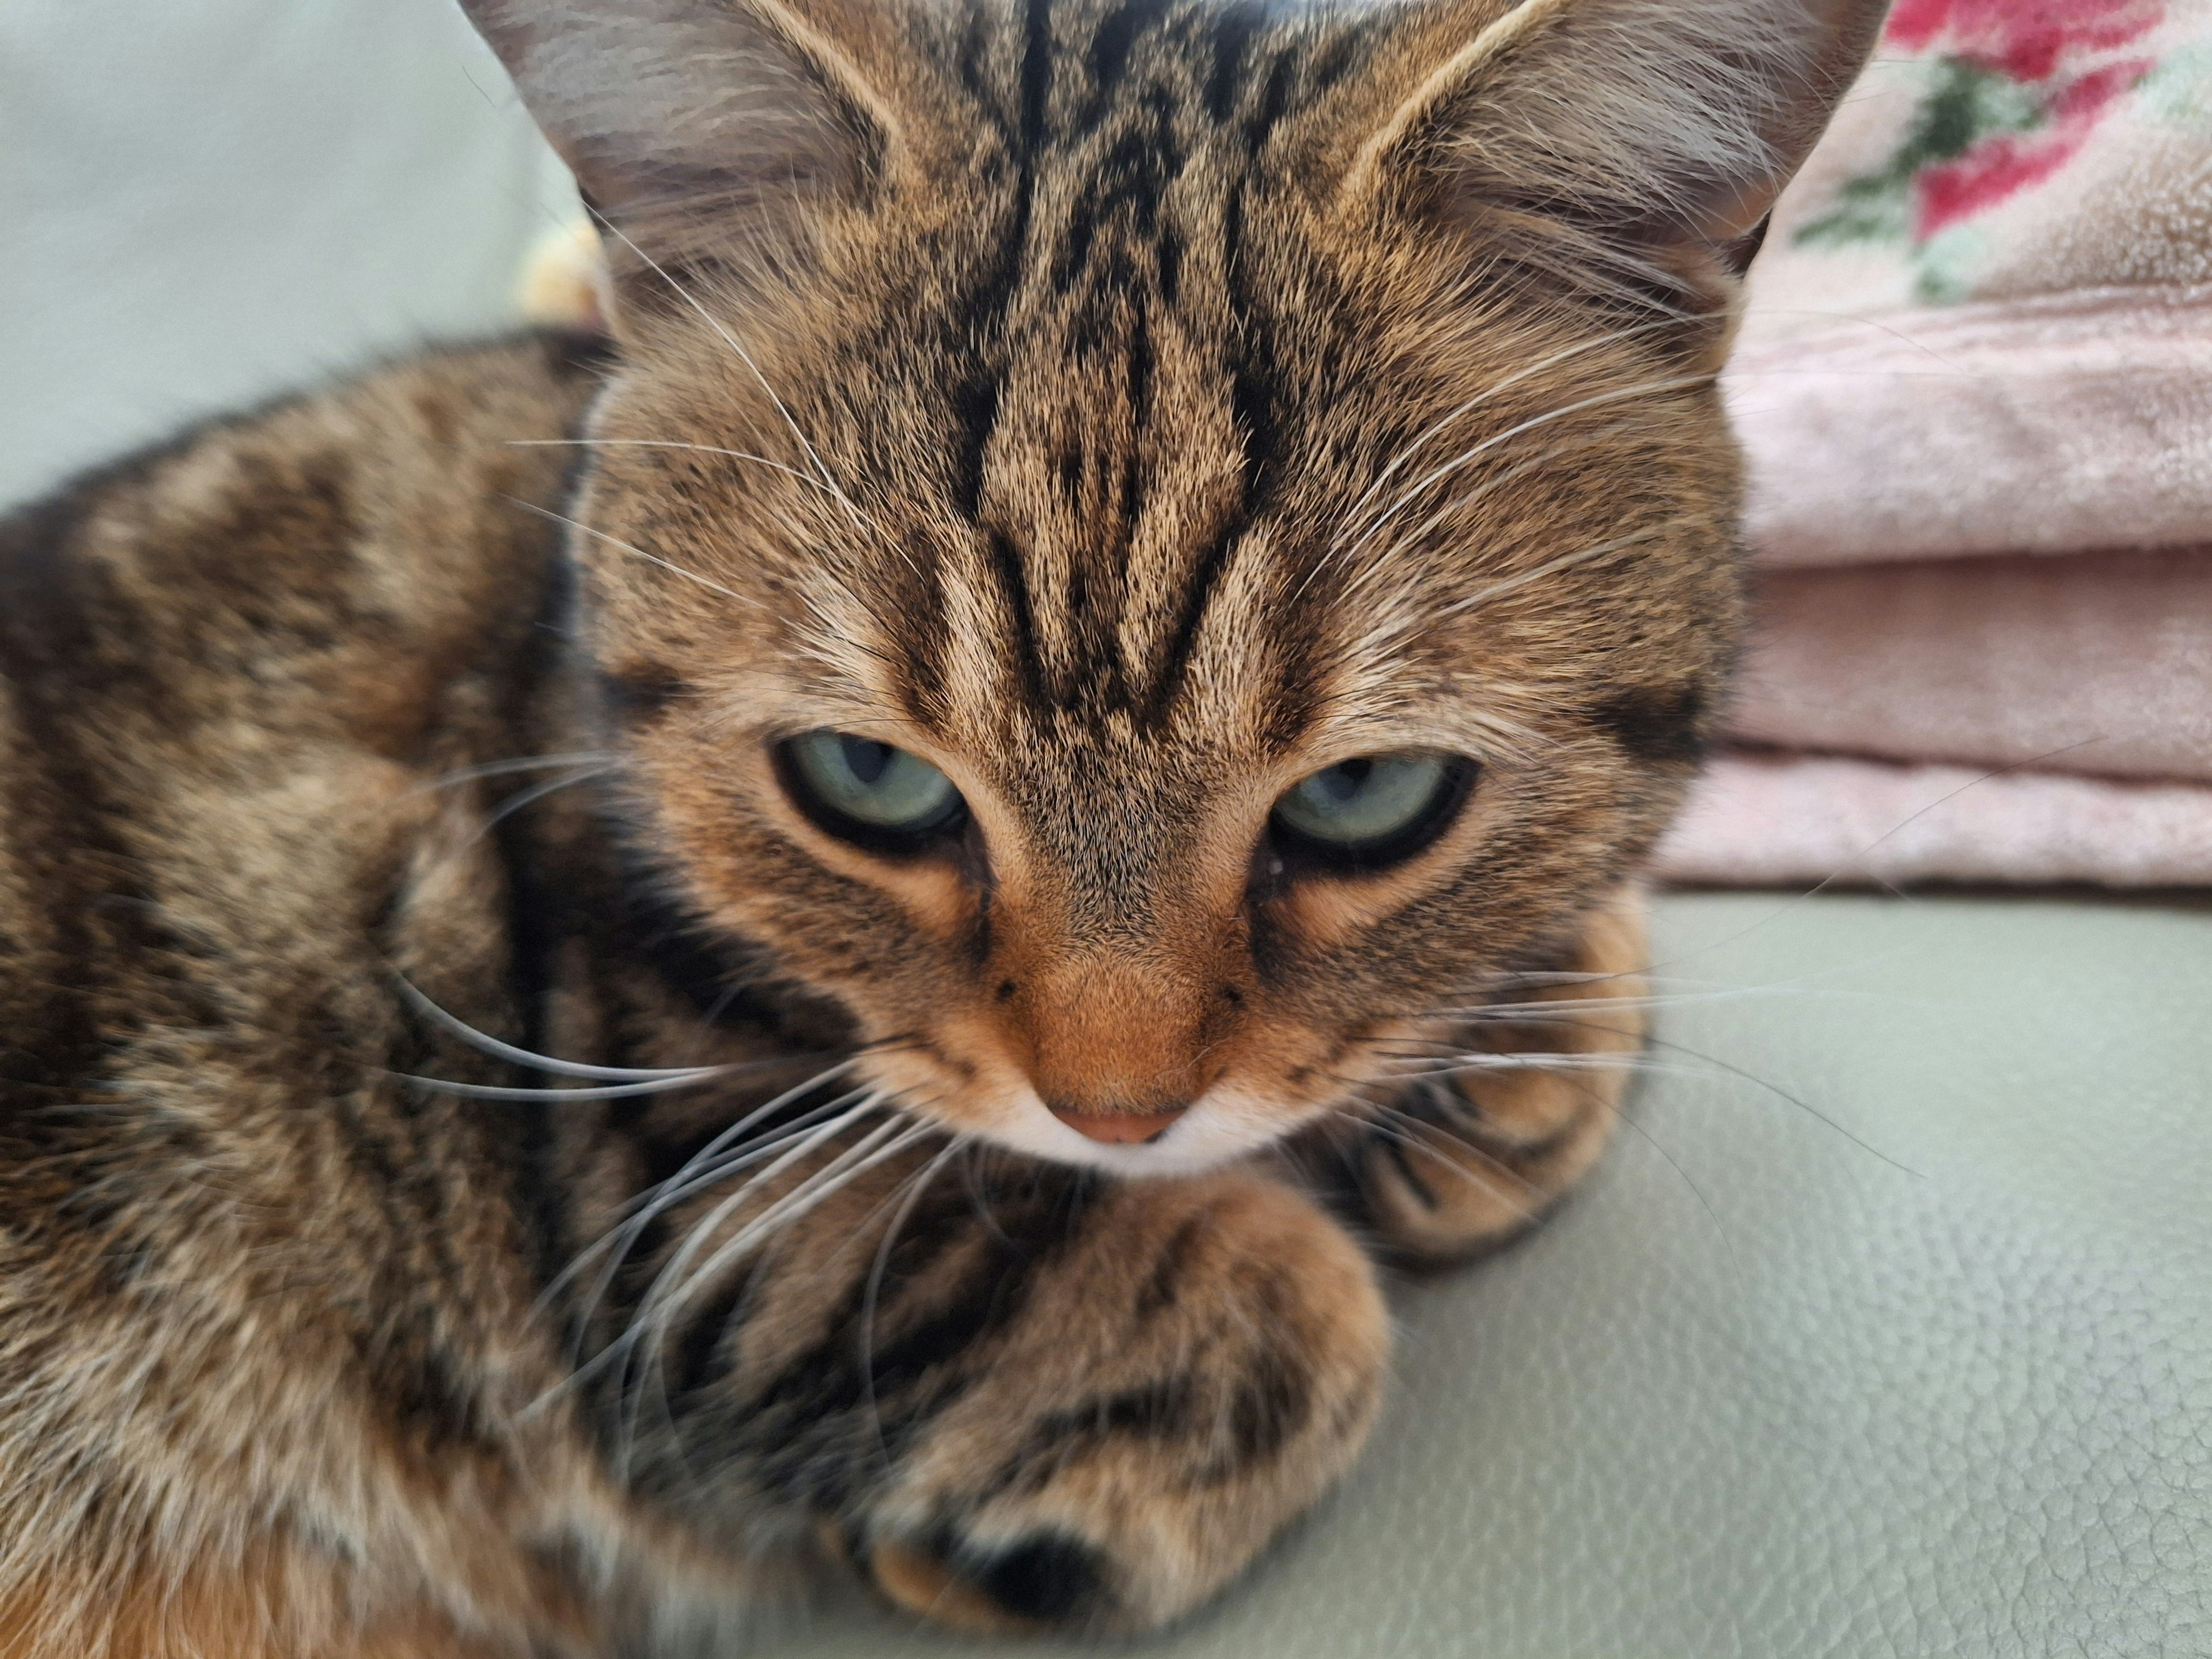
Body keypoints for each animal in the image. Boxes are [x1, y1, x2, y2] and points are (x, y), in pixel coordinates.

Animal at [0, 0, 1876, 1654]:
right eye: (868, 781)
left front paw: (1496, 1047)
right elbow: (1249, 1302)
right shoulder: (653, 1193)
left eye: (1362, 797)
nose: (1118, 1113)